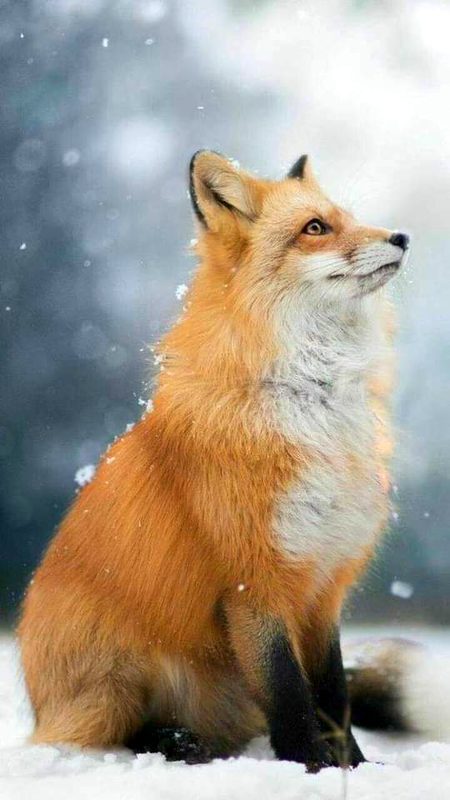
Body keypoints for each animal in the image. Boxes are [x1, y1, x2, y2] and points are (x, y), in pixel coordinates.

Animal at [19, 150, 411, 771]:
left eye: (348, 218)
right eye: (315, 228)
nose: (401, 236)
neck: (312, 401)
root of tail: (39, 705)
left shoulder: (323, 584)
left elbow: (332, 693)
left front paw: (356, 768)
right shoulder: (253, 582)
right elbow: (289, 693)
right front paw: (309, 768)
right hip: (118, 680)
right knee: (111, 733)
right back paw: (174, 742)